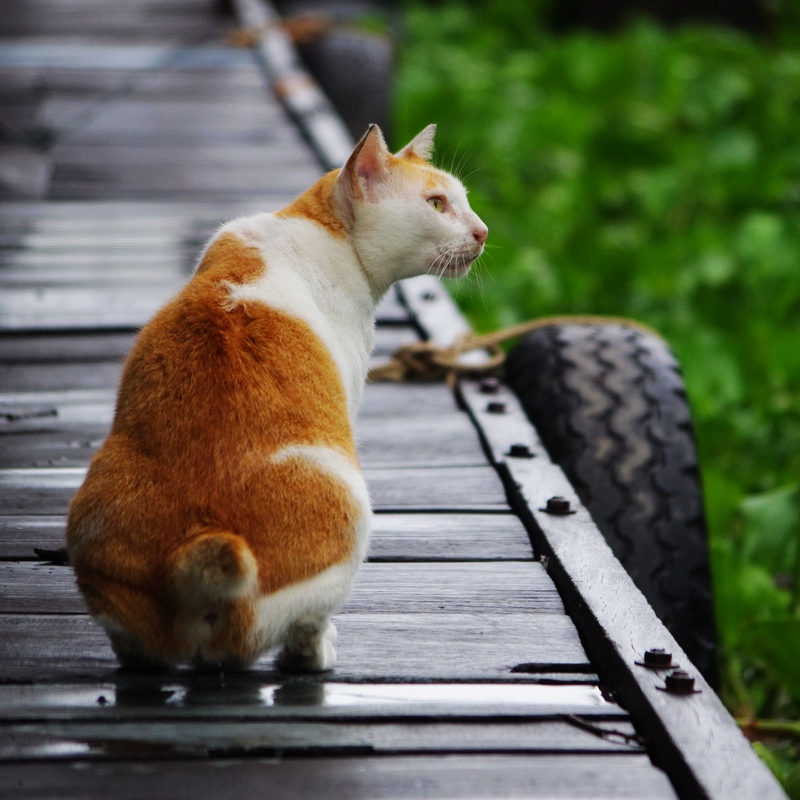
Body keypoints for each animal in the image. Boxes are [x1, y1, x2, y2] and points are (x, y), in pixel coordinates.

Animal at [65, 125, 488, 672]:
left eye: (465, 201)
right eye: (437, 204)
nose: (483, 232)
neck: (317, 224)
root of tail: (195, 548)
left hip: (92, 523)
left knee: (132, 641)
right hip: (351, 509)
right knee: (293, 630)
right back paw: (315, 653)